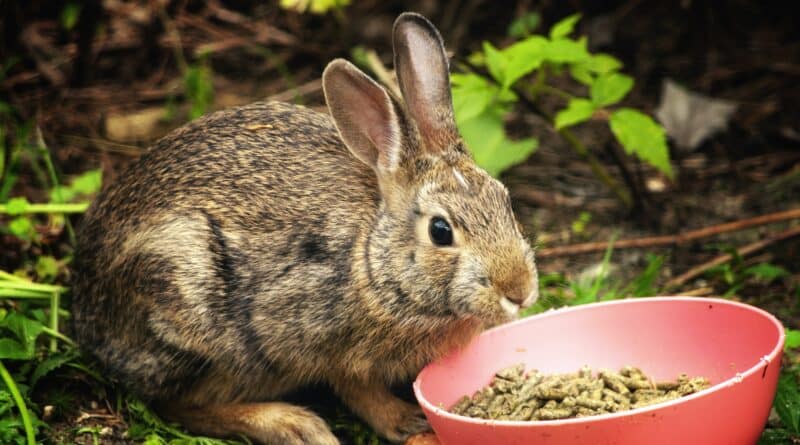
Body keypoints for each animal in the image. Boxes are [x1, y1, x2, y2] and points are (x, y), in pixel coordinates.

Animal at [72, 12, 536, 442]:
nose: (520, 291)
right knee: (178, 405)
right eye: (441, 231)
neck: (373, 260)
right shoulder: (319, 341)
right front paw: (406, 421)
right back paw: (293, 425)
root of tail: (87, 316)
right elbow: (358, 390)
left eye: (505, 200)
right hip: (191, 312)